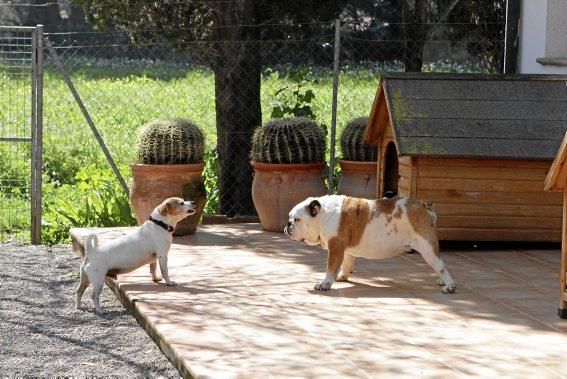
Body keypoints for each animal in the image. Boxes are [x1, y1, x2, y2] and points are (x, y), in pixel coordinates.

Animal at [284, 194, 458, 296]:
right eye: (290, 217)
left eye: (297, 220)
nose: (288, 224)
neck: (323, 214)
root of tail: (424, 205)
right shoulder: (345, 250)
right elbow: (346, 264)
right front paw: (342, 277)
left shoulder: (335, 247)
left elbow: (331, 268)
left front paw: (325, 284)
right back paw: (443, 281)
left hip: (426, 247)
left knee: (440, 265)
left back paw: (449, 286)